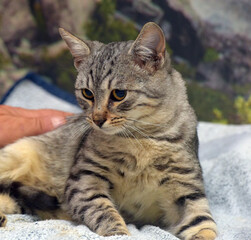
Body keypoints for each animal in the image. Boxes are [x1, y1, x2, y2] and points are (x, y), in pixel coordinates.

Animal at [0, 22, 217, 238]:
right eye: (87, 93)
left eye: (119, 94)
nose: (97, 119)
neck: (141, 139)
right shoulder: (84, 180)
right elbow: (104, 213)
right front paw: (119, 231)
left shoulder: (187, 189)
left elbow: (203, 223)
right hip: (16, 155)